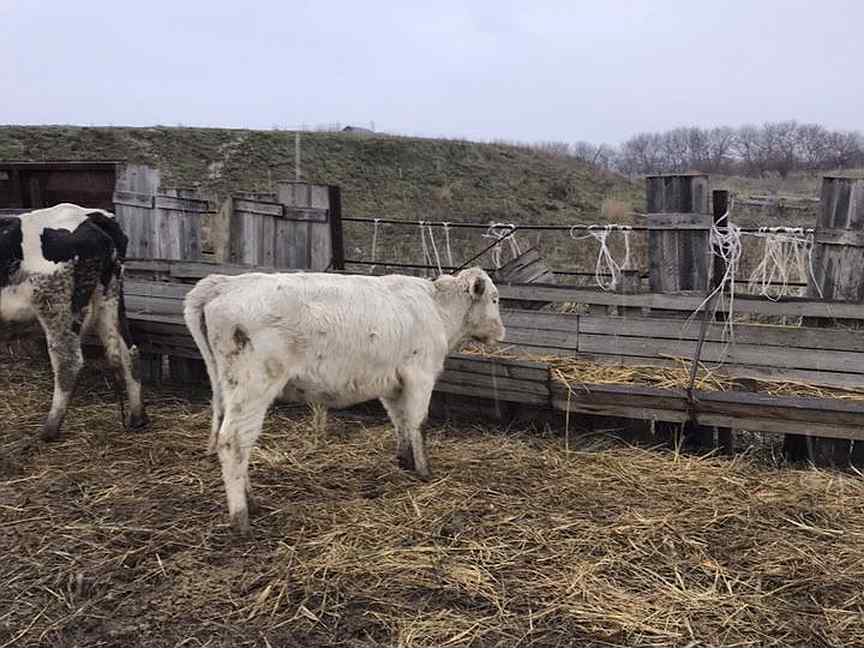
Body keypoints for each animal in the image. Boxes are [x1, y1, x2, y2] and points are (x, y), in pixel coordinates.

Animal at [0, 202, 147, 440]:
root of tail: (87, 216)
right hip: (112, 299)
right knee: (129, 351)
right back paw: (137, 418)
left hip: (56, 306)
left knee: (68, 362)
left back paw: (49, 430)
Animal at [183, 266, 506, 536]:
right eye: (495, 299)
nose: (502, 333)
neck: (437, 309)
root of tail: (223, 283)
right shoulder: (420, 375)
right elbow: (418, 423)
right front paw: (425, 471)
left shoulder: (392, 383)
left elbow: (400, 421)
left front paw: (404, 460)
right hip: (253, 386)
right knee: (234, 440)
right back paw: (241, 517)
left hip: (230, 387)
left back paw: (251, 500)